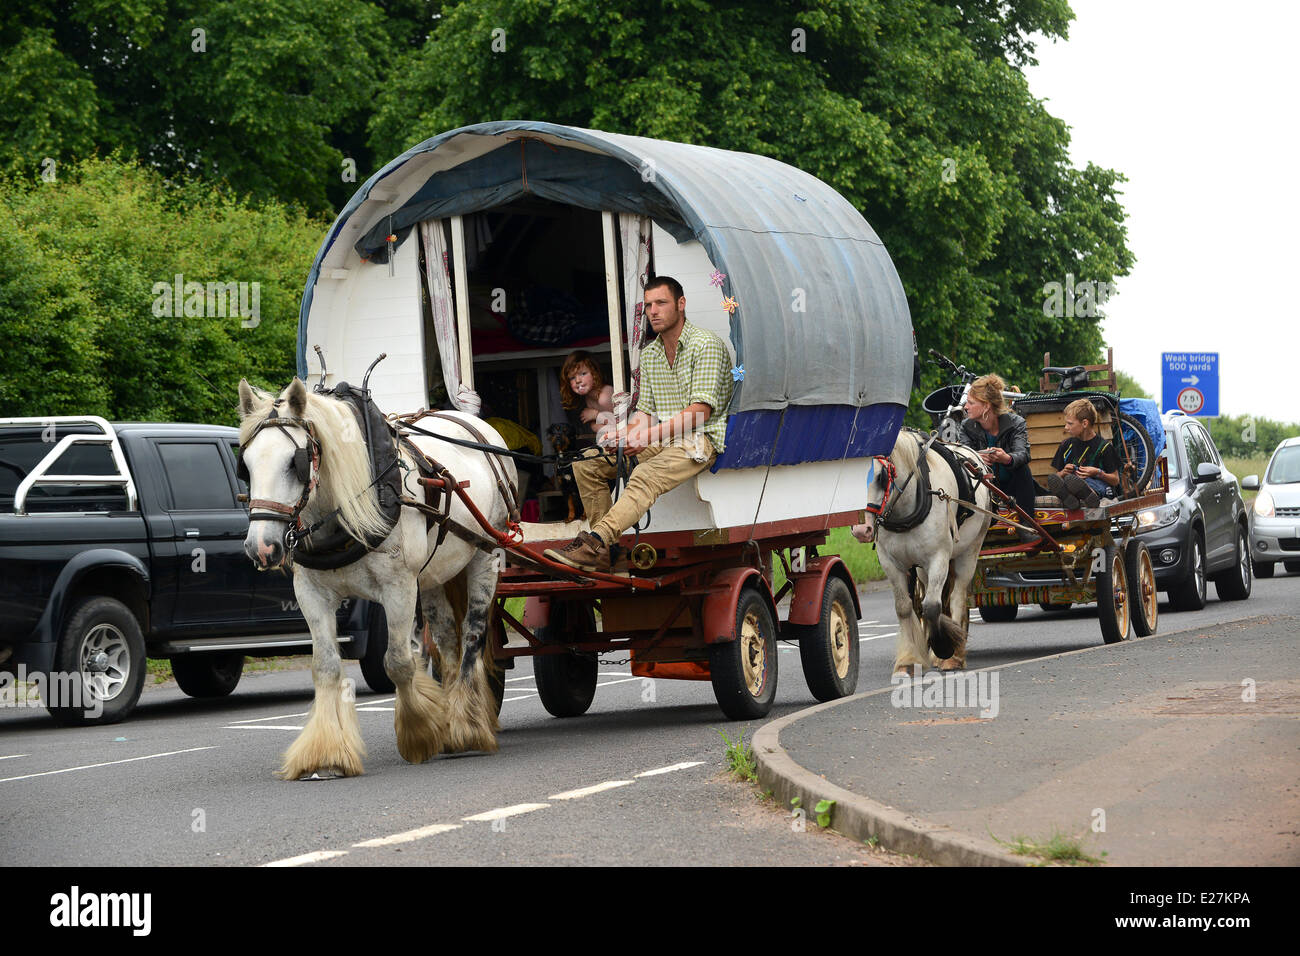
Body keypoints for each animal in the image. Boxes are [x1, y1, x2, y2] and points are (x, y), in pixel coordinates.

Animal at [239, 377, 512, 780]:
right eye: (246, 465)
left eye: (295, 462)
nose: (262, 547)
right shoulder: (311, 594)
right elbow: (325, 667)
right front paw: (325, 753)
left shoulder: (399, 588)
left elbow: (397, 662)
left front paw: (419, 732)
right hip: (433, 575)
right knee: (447, 640)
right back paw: (454, 714)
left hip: (486, 555)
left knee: (473, 635)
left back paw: (465, 727)